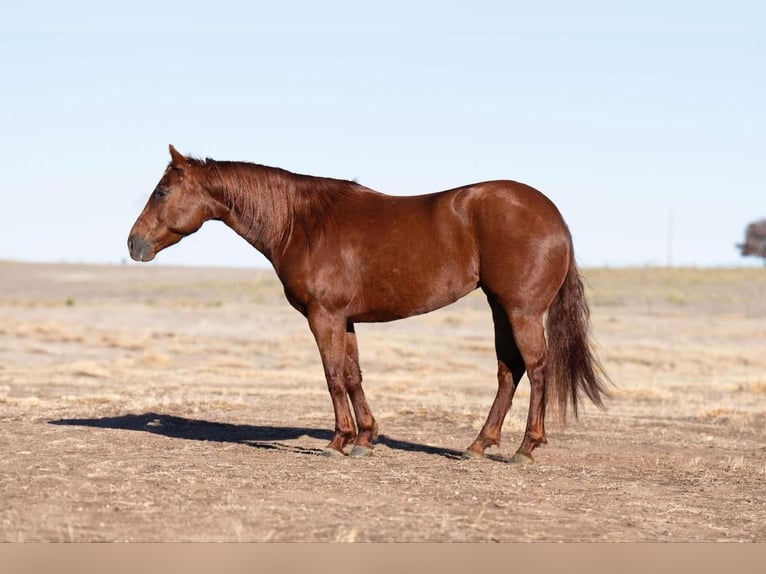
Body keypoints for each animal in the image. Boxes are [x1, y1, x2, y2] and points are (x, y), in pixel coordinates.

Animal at [130, 146, 612, 466]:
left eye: (161, 192)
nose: (134, 245)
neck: (303, 223)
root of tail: (552, 215)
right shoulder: (345, 320)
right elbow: (354, 375)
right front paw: (365, 438)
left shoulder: (324, 316)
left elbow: (332, 376)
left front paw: (338, 441)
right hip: (499, 308)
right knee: (509, 370)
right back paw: (479, 444)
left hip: (521, 311)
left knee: (537, 368)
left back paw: (525, 447)